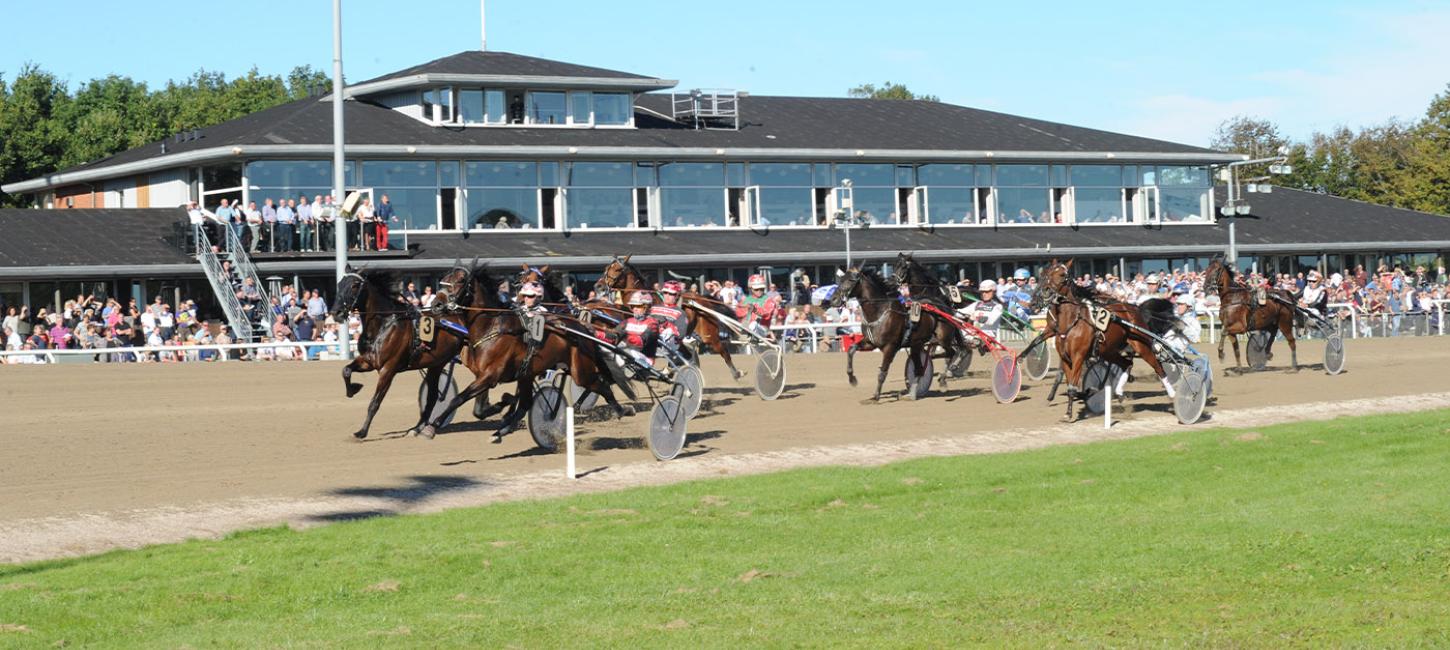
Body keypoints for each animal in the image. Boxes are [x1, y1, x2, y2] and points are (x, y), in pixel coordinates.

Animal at [329, 265, 475, 441]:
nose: (336, 312)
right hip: (436, 364)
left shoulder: (388, 369)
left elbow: (374, 403)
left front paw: (361, 432)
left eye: (354, 285)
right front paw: (353, 389)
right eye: (339, 284)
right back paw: (417, 428)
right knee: (433, 396)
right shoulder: (369, 361)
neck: (384, 324)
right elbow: (346, 370)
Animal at [591, 256, 748, 380]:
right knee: (687, 356)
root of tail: (702, 300)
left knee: (723, 351)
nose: (598, 286)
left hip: (709, 335)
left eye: (617, 270)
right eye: (606, 268)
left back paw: (736, 373)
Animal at [835, 265, 933, 400]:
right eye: (841, 279)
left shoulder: (890, 347)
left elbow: (882, 372)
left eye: (850, 280)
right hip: (916, 344)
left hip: (920, 342)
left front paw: (876, 395)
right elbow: (851, 349)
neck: (879, 310)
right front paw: (852, 378)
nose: (833, 299)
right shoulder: (870, 343)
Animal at [1032, 259, 1177, 420]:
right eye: (1045, 274)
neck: (1071, 322)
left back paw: (1172, 394)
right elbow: (1066, 380)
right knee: (1127, 363)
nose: (1044, 292)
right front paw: (1066, 407)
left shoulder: (1078, 357)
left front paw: (1069, 413)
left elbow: (1072, 386)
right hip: (1109, 351)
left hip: (1142, 346)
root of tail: (1135, 308)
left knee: (1158, 367)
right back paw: (1119, 393)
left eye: (1062, 274)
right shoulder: (1065, 357)